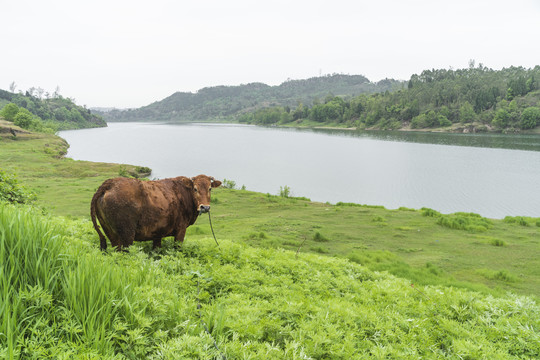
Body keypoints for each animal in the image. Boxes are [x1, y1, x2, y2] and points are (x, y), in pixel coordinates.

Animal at [90, 174, 221, 250]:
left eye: (210, 188)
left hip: (110, 232)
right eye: (195, 189)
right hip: (127, 234)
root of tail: (109, 184)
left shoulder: (157, 233)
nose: (205, 207)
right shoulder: (181, 230)